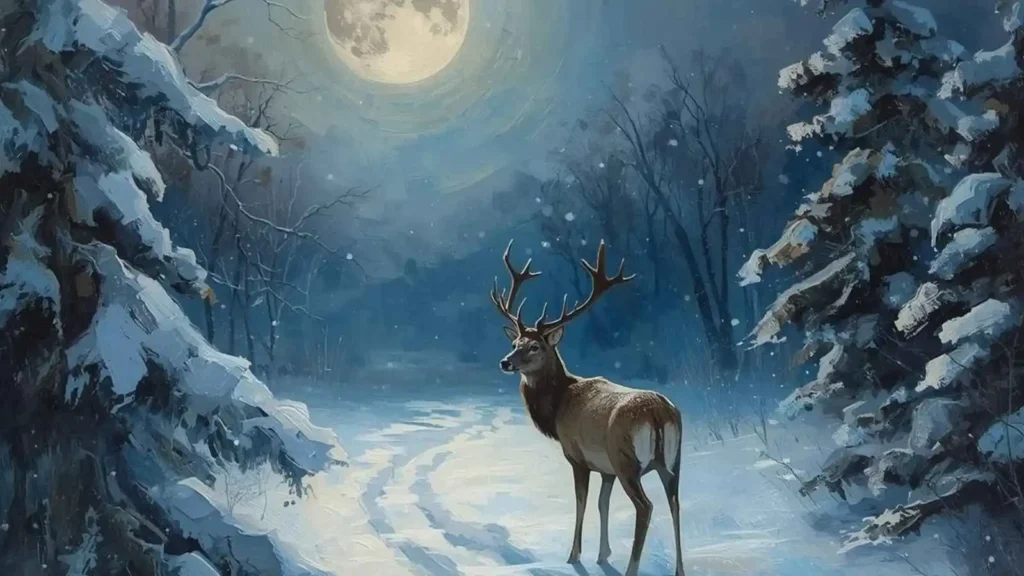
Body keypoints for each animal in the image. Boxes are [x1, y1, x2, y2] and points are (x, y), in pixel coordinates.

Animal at [490, 239, 685, 576]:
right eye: (515, 342)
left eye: (535, 346)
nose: (505, 361)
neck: (557, 407)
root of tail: (659, 413)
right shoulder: (605, 468)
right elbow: (602, 503)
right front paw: (603, 554)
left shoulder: (577, 456)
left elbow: (581, 502)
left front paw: (573, 556)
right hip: (672, 461)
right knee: (675, 503)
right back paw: (680, 570)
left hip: (627, 460)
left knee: (646, 507)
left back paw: (632, 569)